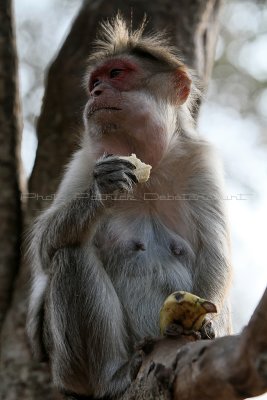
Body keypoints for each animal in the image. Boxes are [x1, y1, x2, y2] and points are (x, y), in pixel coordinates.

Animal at [26, 15, 232, 400]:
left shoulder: (200, 161)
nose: (95, 93)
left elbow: (216, 254)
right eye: (95, 81)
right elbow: (45, 249)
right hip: (68, 371)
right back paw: (112, 378)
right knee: (69, 254)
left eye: (117, 73)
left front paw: (206, 321)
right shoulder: (85, 159)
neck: (149, 164)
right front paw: (103, 189)